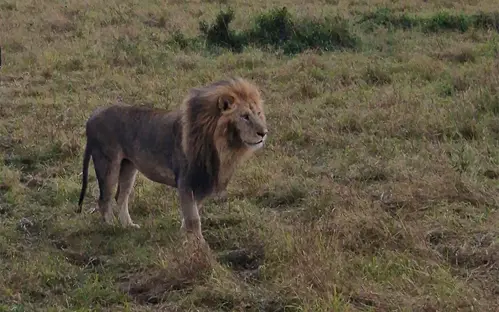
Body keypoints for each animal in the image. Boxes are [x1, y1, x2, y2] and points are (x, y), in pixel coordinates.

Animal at [77, 77, 270, 243]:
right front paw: (199, 245)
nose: (263, 133)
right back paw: (111, 228)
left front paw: (184, 236)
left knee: (121, 197)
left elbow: (190, 214)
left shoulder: (201, 182)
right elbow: (193, 218)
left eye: (259, 113)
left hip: (128, 167)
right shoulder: (186, 181)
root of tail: (93, 114)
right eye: (245, 116)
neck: (223, 146)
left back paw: (128, 226)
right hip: (107, 163)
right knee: (104, 199)